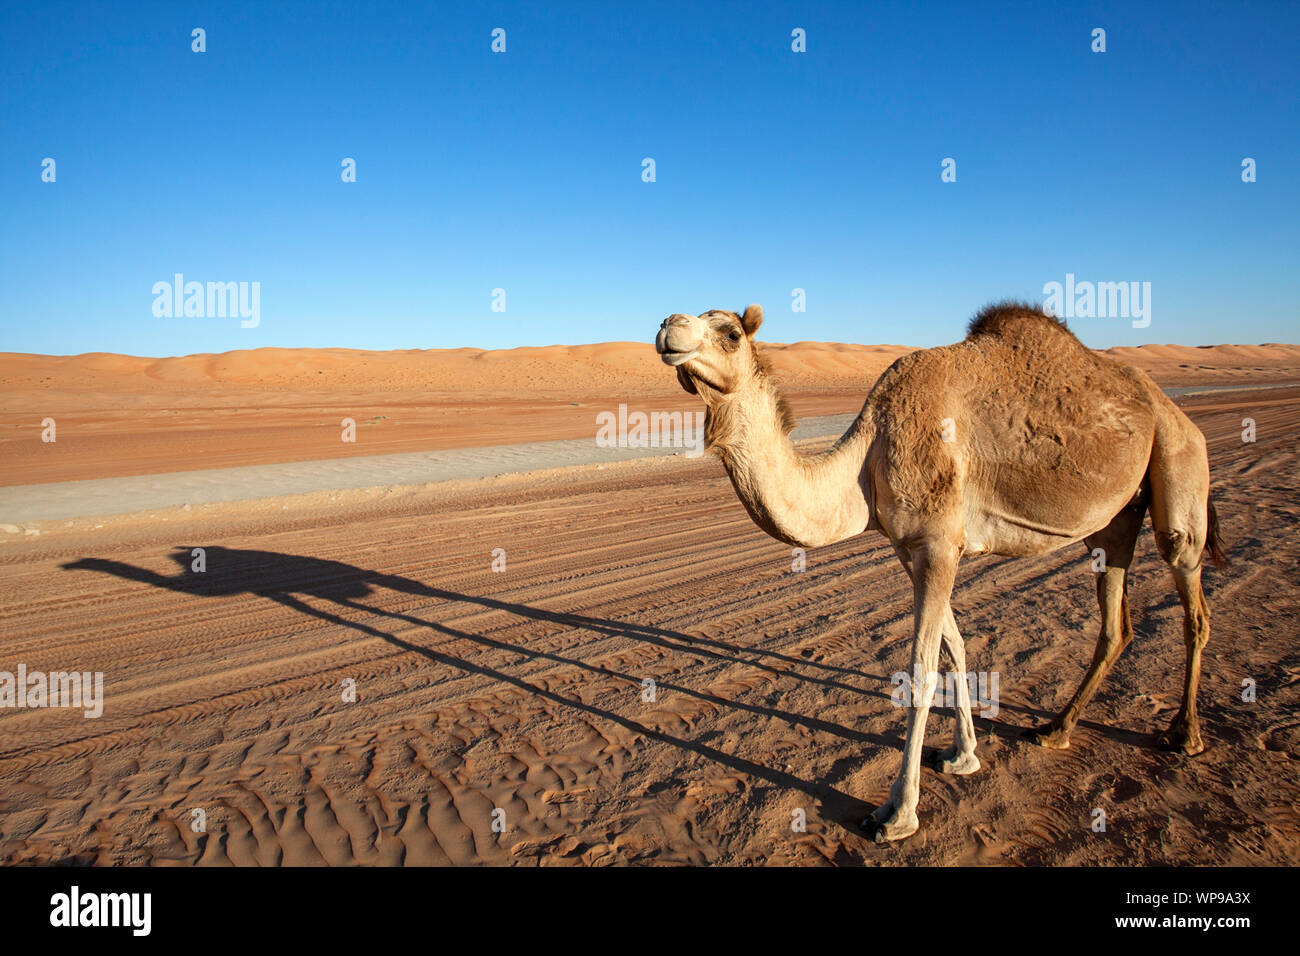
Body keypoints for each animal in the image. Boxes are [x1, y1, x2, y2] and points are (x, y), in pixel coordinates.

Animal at [655, 303, 1222, 842]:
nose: (667, 326)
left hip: (1179, 466)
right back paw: (1056, 728)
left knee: (1192, 598)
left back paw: (1185, 734)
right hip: (1117, 519)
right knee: (1115, 621)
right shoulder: (913, 550)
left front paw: (896, 813)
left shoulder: (939, 545)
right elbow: (955, 647)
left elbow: (922, 671)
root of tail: (1173, 410)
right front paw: (963, 755)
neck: (868, 456)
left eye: (730, 332)